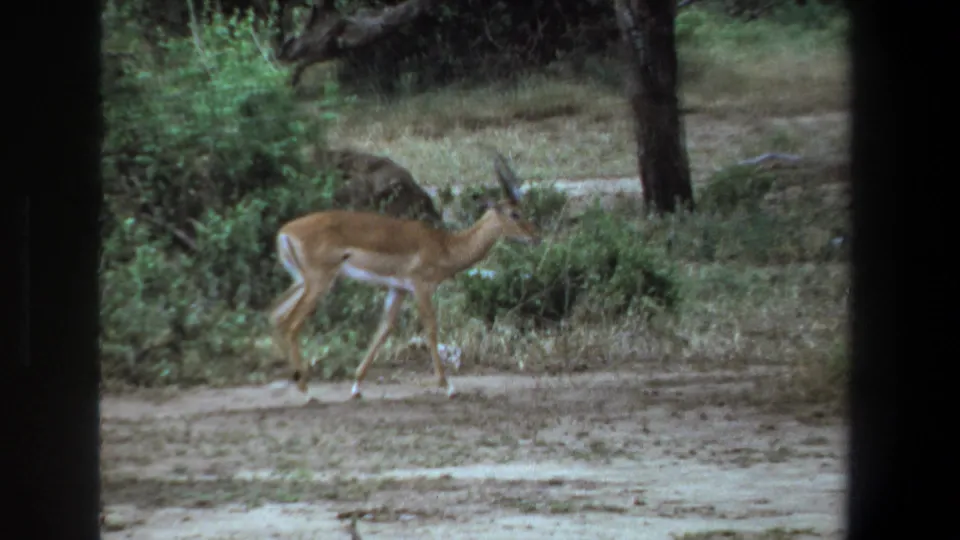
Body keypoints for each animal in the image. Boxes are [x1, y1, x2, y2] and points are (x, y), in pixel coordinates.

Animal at [268, 152, 541, 400]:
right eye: (515, 214)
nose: (535, 236)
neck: (445, 246)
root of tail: (285, 232)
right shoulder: (421, 287)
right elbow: (431, 328)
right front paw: (448, 386)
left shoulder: (397, 289)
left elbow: (385, 328)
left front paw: (356, 386)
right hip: (319, 282)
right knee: (291, 323)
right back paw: (306, 391)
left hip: (301, 282)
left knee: (276, 314)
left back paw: (293, 380)